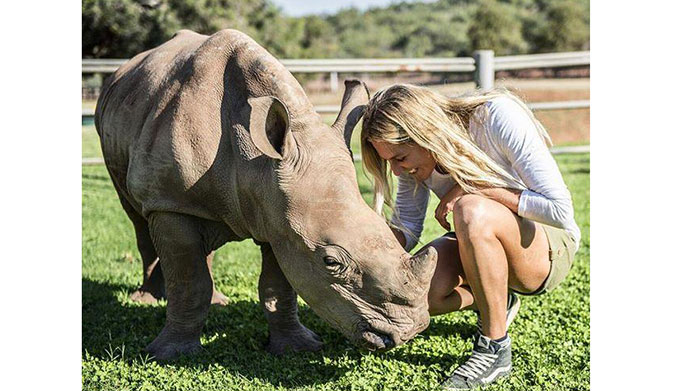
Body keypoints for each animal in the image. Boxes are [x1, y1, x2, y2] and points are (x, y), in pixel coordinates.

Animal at [95, 28, 438, 362]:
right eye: (330, 262)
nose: (409, 331)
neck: (256, 163)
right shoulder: (170, 202)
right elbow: (189, 284)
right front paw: (170, 354)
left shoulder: (282, 218)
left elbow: (279, 287)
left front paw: (296, 348)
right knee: (139, 219)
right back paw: (148, 299)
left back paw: (217, 301)